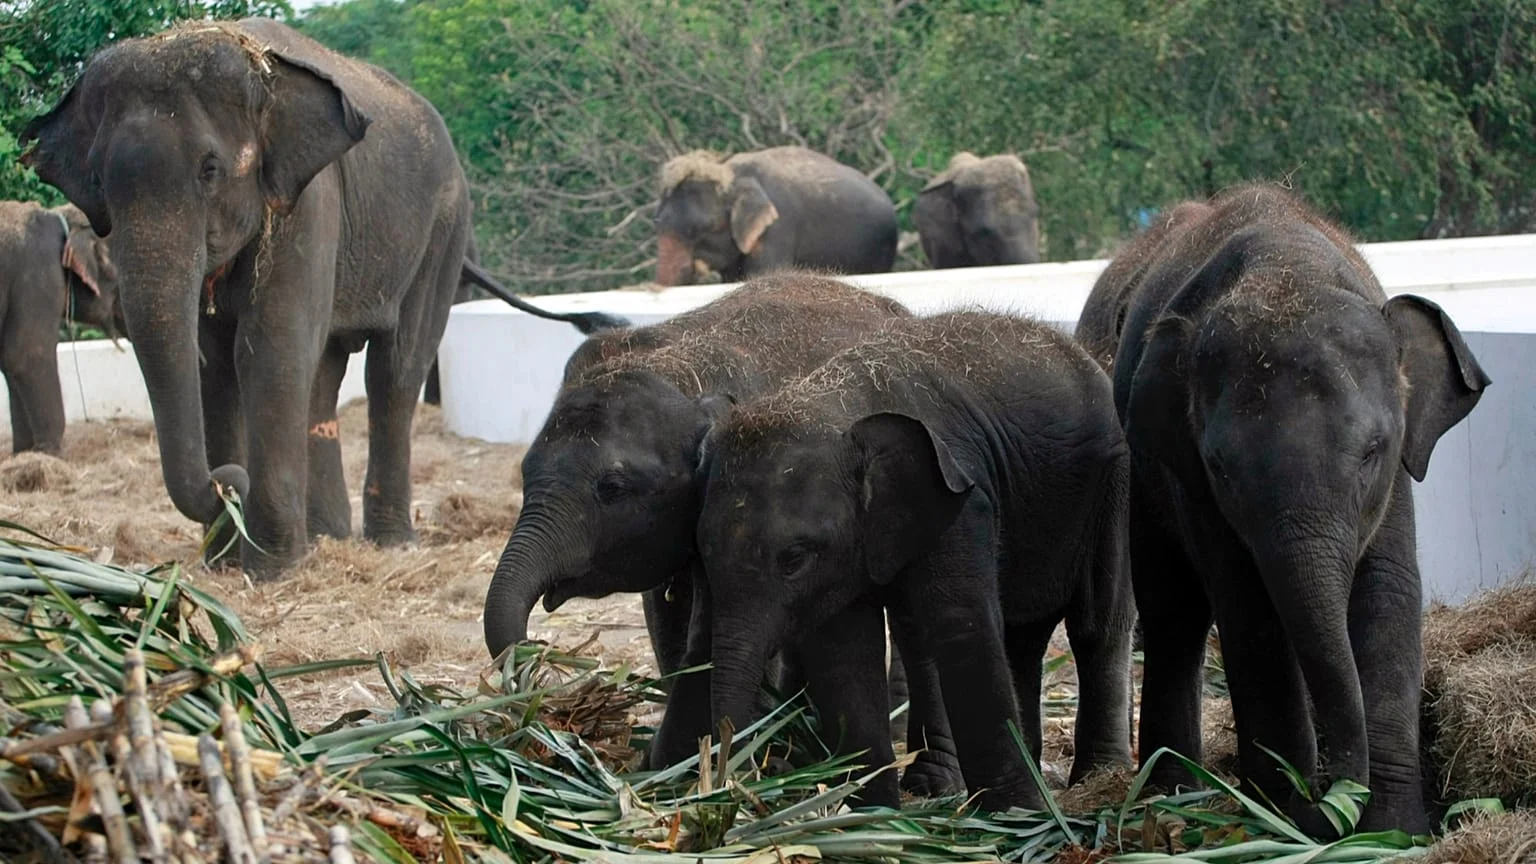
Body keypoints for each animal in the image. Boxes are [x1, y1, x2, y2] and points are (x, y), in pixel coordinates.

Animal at [20, 19, 624, 578]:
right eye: (98, 181)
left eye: (210, 170)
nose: (227, 486)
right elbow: (214, 363)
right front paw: (226, 564)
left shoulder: (310, 201)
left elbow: (270, 348)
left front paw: (270, 571)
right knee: (324, 376)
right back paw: (327, 536)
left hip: (443, 229)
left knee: (394, 369)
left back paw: (389, 543)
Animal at [695, 311, 1136, 811]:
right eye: (703, 553)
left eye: (793, 559)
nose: (734, 783)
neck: (833, 402)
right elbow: (845, 653)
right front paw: (873, 815)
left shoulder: (964, 502)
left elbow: (961, 626)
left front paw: (1019, 814)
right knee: (1015, 634)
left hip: (1113, 481)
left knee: (1097, 623)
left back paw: (1098, 779)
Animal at [1074, 183, 1490, 835]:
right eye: (1220, 466)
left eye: (1374, 450)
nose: (1329, 797)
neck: (1288, 265)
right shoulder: (1191, 481)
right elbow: (1250, 608)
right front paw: (1284, 816)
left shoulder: (1397, 479)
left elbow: (1388, 593)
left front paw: (1393, 833)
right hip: (1141, 479)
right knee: (1174, 612)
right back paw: (1172, 794)